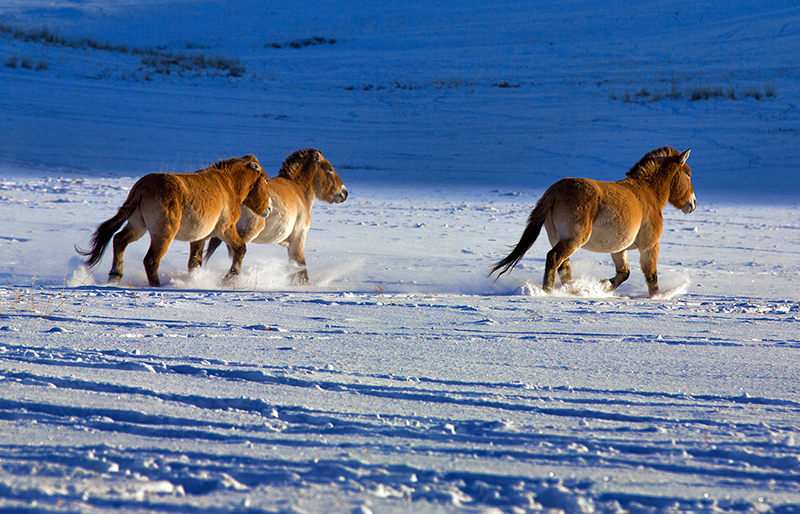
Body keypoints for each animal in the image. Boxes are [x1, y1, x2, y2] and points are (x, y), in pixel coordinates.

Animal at [76, 155, 272, 287]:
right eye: (266, 181)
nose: (269, 208)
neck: (228, 184)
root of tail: (141, 188)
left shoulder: (200, 237)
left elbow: (195, 262)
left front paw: (194, 281)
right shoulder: (226, 229)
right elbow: (240, 249)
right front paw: (230, 277)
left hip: (138, 226)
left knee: (119, 240)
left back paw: (115, 276)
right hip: (164, 234)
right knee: (151, 260)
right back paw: (156, 286)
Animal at [201, 148, 347, 284]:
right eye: (330, 169)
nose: (344, 193)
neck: (298, 190)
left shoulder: (289, 244)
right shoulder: (298, 239)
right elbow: (301, 266)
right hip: (246, 232)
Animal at [490, 146, 696, 297]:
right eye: (688, 174)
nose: (693, 203)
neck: (647, 193)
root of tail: (554, 191)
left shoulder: (619, 249)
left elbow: (624, 273)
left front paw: (603, 286)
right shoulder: (649, 246)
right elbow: (651, 275)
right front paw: (657, 297)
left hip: (557, 237)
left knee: (563, 266)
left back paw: (572, 290)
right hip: (574, 238)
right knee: (554, 258)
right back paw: (548, 292)